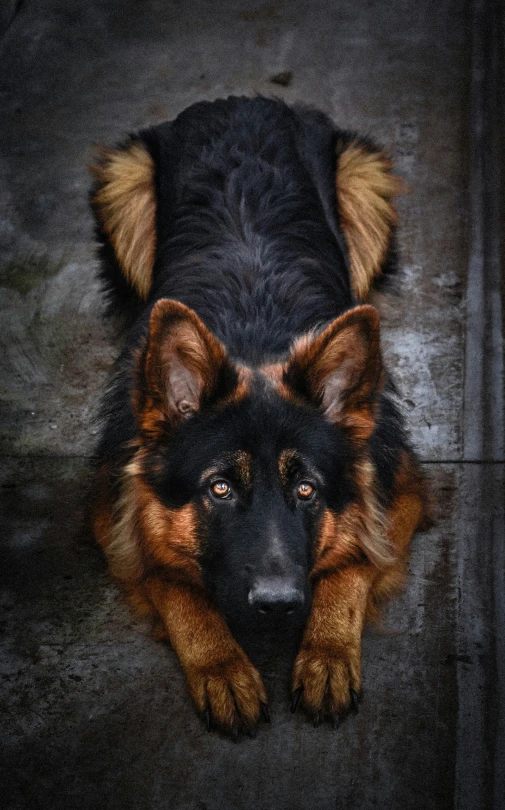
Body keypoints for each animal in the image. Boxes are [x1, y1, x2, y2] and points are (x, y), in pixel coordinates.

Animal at [89, 94, 430, 732]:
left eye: (307, 490)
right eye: (219, 489)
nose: (278, 607)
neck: (252, 341)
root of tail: (239, 101)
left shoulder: (397, 492)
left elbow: (354, 560)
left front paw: (326, 651)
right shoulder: (113, 512)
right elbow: (173, 580)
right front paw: (222, 665)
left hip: (364, 182)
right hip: (123, 182)